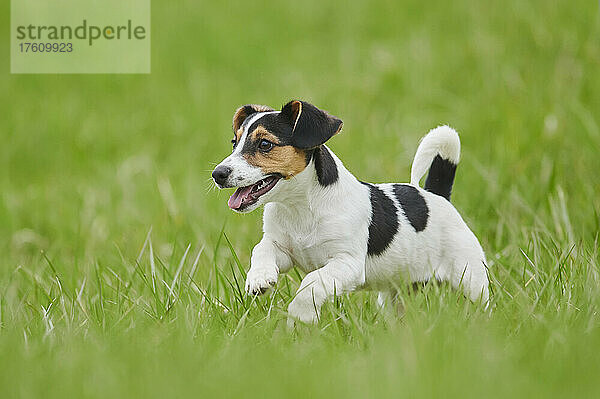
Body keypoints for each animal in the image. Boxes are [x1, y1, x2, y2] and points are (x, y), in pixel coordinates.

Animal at [213, 100, 490, 324]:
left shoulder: (347, 264)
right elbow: (261, 250)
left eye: (264, 144)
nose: (218, 174)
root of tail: (437, 196)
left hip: (471, 279)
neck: (301, 207)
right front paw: (259, 278)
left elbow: (311, 283)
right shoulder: (282, 249)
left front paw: (302, 315)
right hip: (395, 293)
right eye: (234, 143)